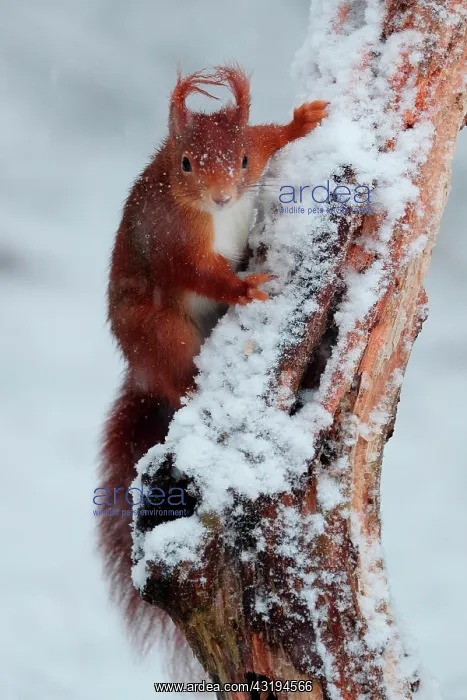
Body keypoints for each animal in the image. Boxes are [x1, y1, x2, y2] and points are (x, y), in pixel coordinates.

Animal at [98, 64, 328, 649]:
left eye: (242, 159)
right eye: (186, 164)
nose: (223, 198)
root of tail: (141, 371)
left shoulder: (256, 150)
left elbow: (271, 137)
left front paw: (303, 121)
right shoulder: (172, 241)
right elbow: (200, 274)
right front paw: (243, 290)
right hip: (162, 334)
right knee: (178, 380)